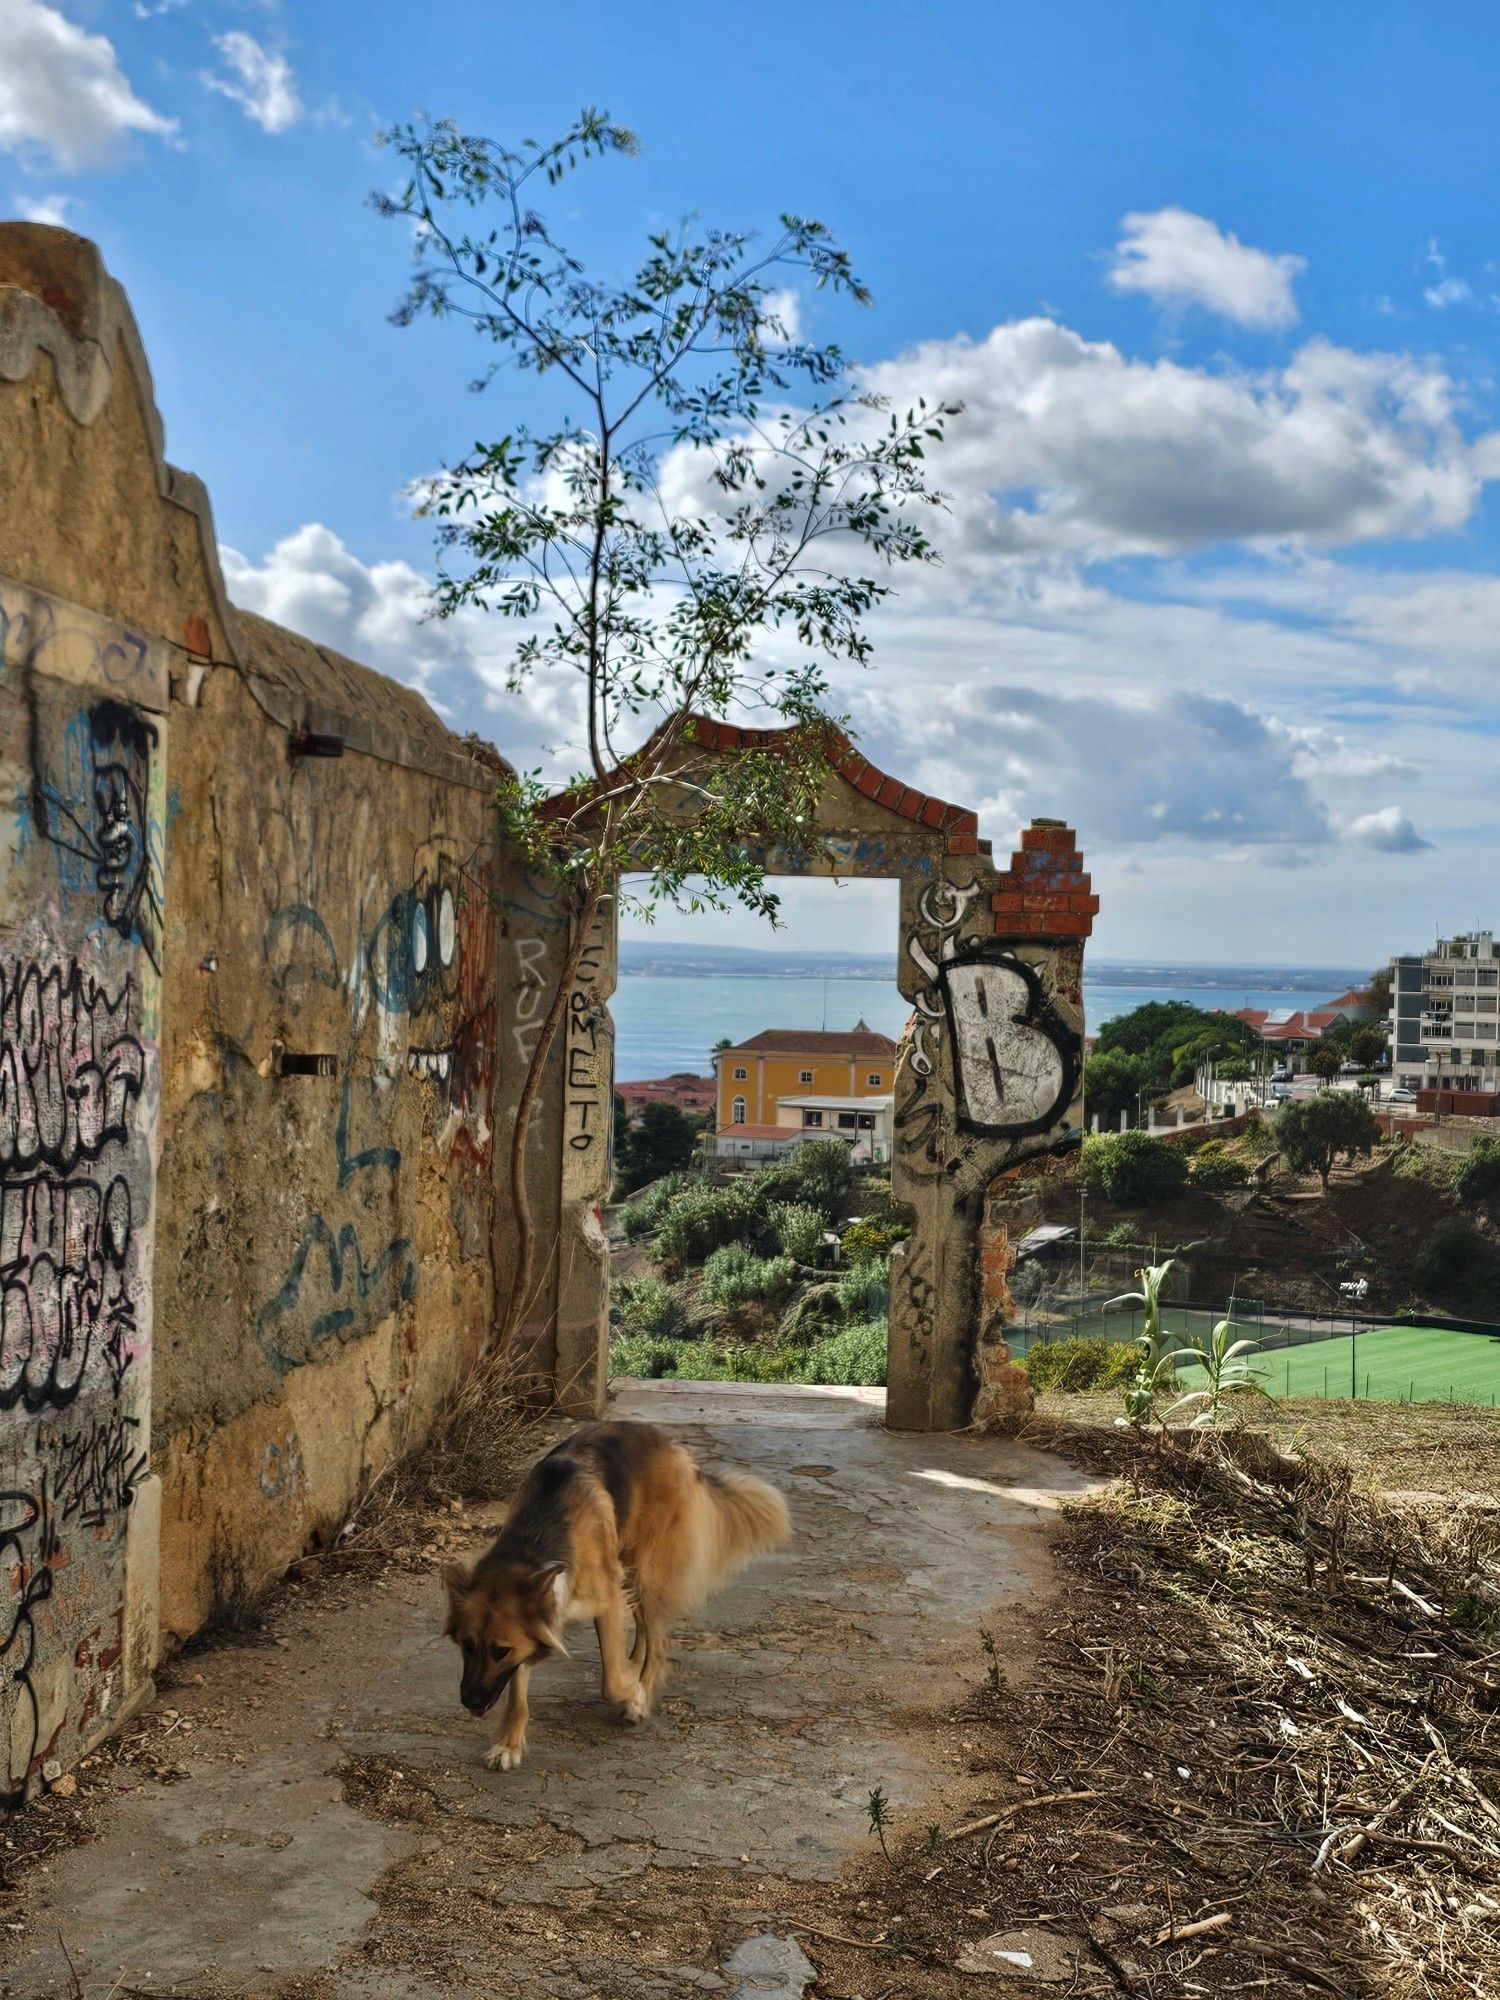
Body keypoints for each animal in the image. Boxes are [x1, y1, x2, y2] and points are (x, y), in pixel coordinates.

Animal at [440, 1424, 792, 1768]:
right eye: (466, 1644)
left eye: (500, 1651)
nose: (468, 1701)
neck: (532, 1544)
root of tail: (674, 1448)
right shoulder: (543, 1621)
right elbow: (518, 1687)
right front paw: (509, 1744)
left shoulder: (606, 1600)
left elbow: (610, 1681)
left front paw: (634, 1693)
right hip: (629, 1571)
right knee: (643, 1629)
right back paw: (635, 1661)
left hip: (646, 1574)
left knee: (658, 1640)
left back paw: (643, 1687)